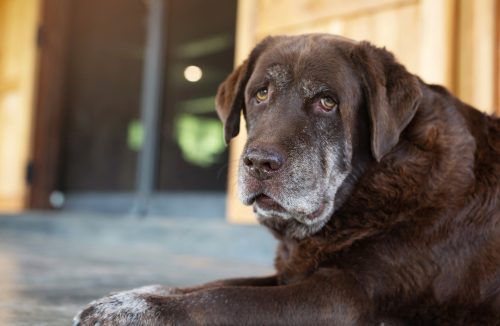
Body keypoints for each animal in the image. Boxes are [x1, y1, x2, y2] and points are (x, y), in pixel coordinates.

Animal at [75, 34, 500, 324]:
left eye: (327, 102)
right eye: (260, 94)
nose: (259, 163)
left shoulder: (343, 295)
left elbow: (224, 299)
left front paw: (134, 310)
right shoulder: (291, 274)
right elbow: (219, 283)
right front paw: (138, 294)